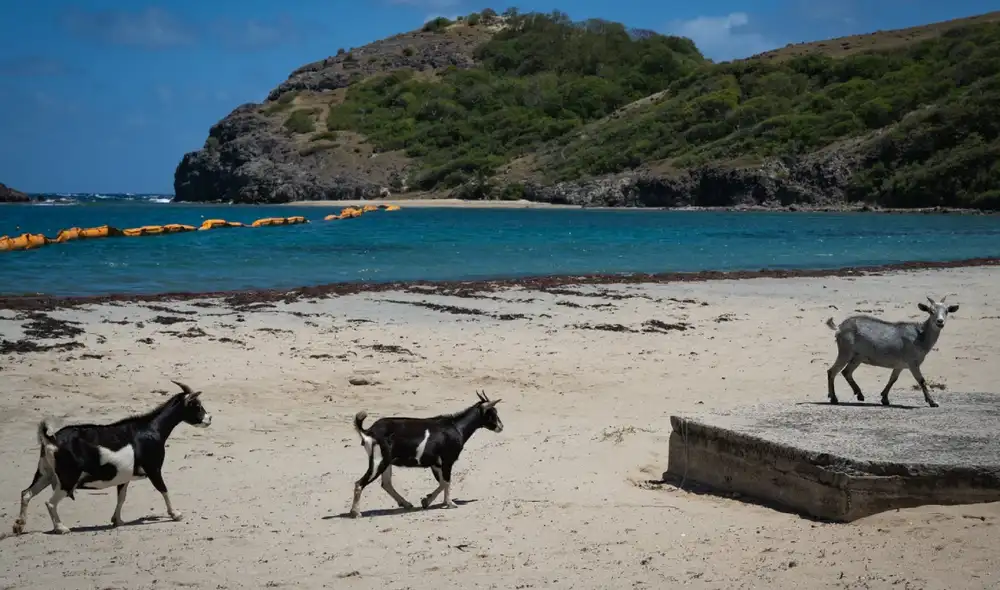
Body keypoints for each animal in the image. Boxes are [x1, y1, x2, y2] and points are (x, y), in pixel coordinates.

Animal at [11, 380, 212, 535]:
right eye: (197, 405)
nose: (209, 418)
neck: (152, 428)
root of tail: (51, 439)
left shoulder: (124, 477)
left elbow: (121, 497)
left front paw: (118, 520)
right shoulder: (153, 468)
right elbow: (163, 489)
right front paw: (175, 514)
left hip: (45, 473)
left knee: (26, 493)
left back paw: (19, 526)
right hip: (67, 478)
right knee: (50, 502)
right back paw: (61, 528)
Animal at [349, 389, 503, 518]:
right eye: (492, 413)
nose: (501, 427)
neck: (457, 427)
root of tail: (369, 431)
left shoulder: (436, 464)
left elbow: (442, 483)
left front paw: (427, 501)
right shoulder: (447, 461)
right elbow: (447, 482)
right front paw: (450, 503)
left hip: (386, 462)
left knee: (386, 484)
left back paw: (406, 504)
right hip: (379, 460)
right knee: (359, 483)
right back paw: (356, 512)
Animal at [826, 295, 959, 408]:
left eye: (946, 311)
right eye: (931, 311)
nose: (940, 322)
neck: (920, 336)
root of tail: (839, 328)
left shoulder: (899, 365)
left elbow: (893, 379)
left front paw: (884, 398)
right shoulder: (913, 362)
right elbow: (921, 380)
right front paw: (932, 402)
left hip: (857, 357)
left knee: (846, 372)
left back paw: (859, 395)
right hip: (845, 352)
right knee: (832, 371)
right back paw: (834, 398)